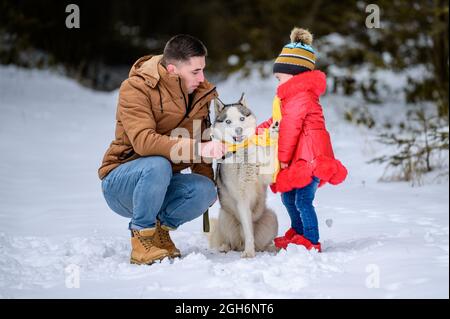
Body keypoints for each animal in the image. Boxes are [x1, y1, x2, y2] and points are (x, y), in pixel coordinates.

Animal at [210, 94, 278, 258]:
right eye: (228, 121)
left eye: (241, 118)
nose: (238, 129)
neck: (242, 153)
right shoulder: (242, 199)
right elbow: (248, 231)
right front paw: (248, 253)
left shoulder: (266, 174)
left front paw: (273, 133)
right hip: (224, 217)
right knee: (232, 243)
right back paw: (226, 247)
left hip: (272, 218)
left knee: (261, 244)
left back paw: (269, 248)